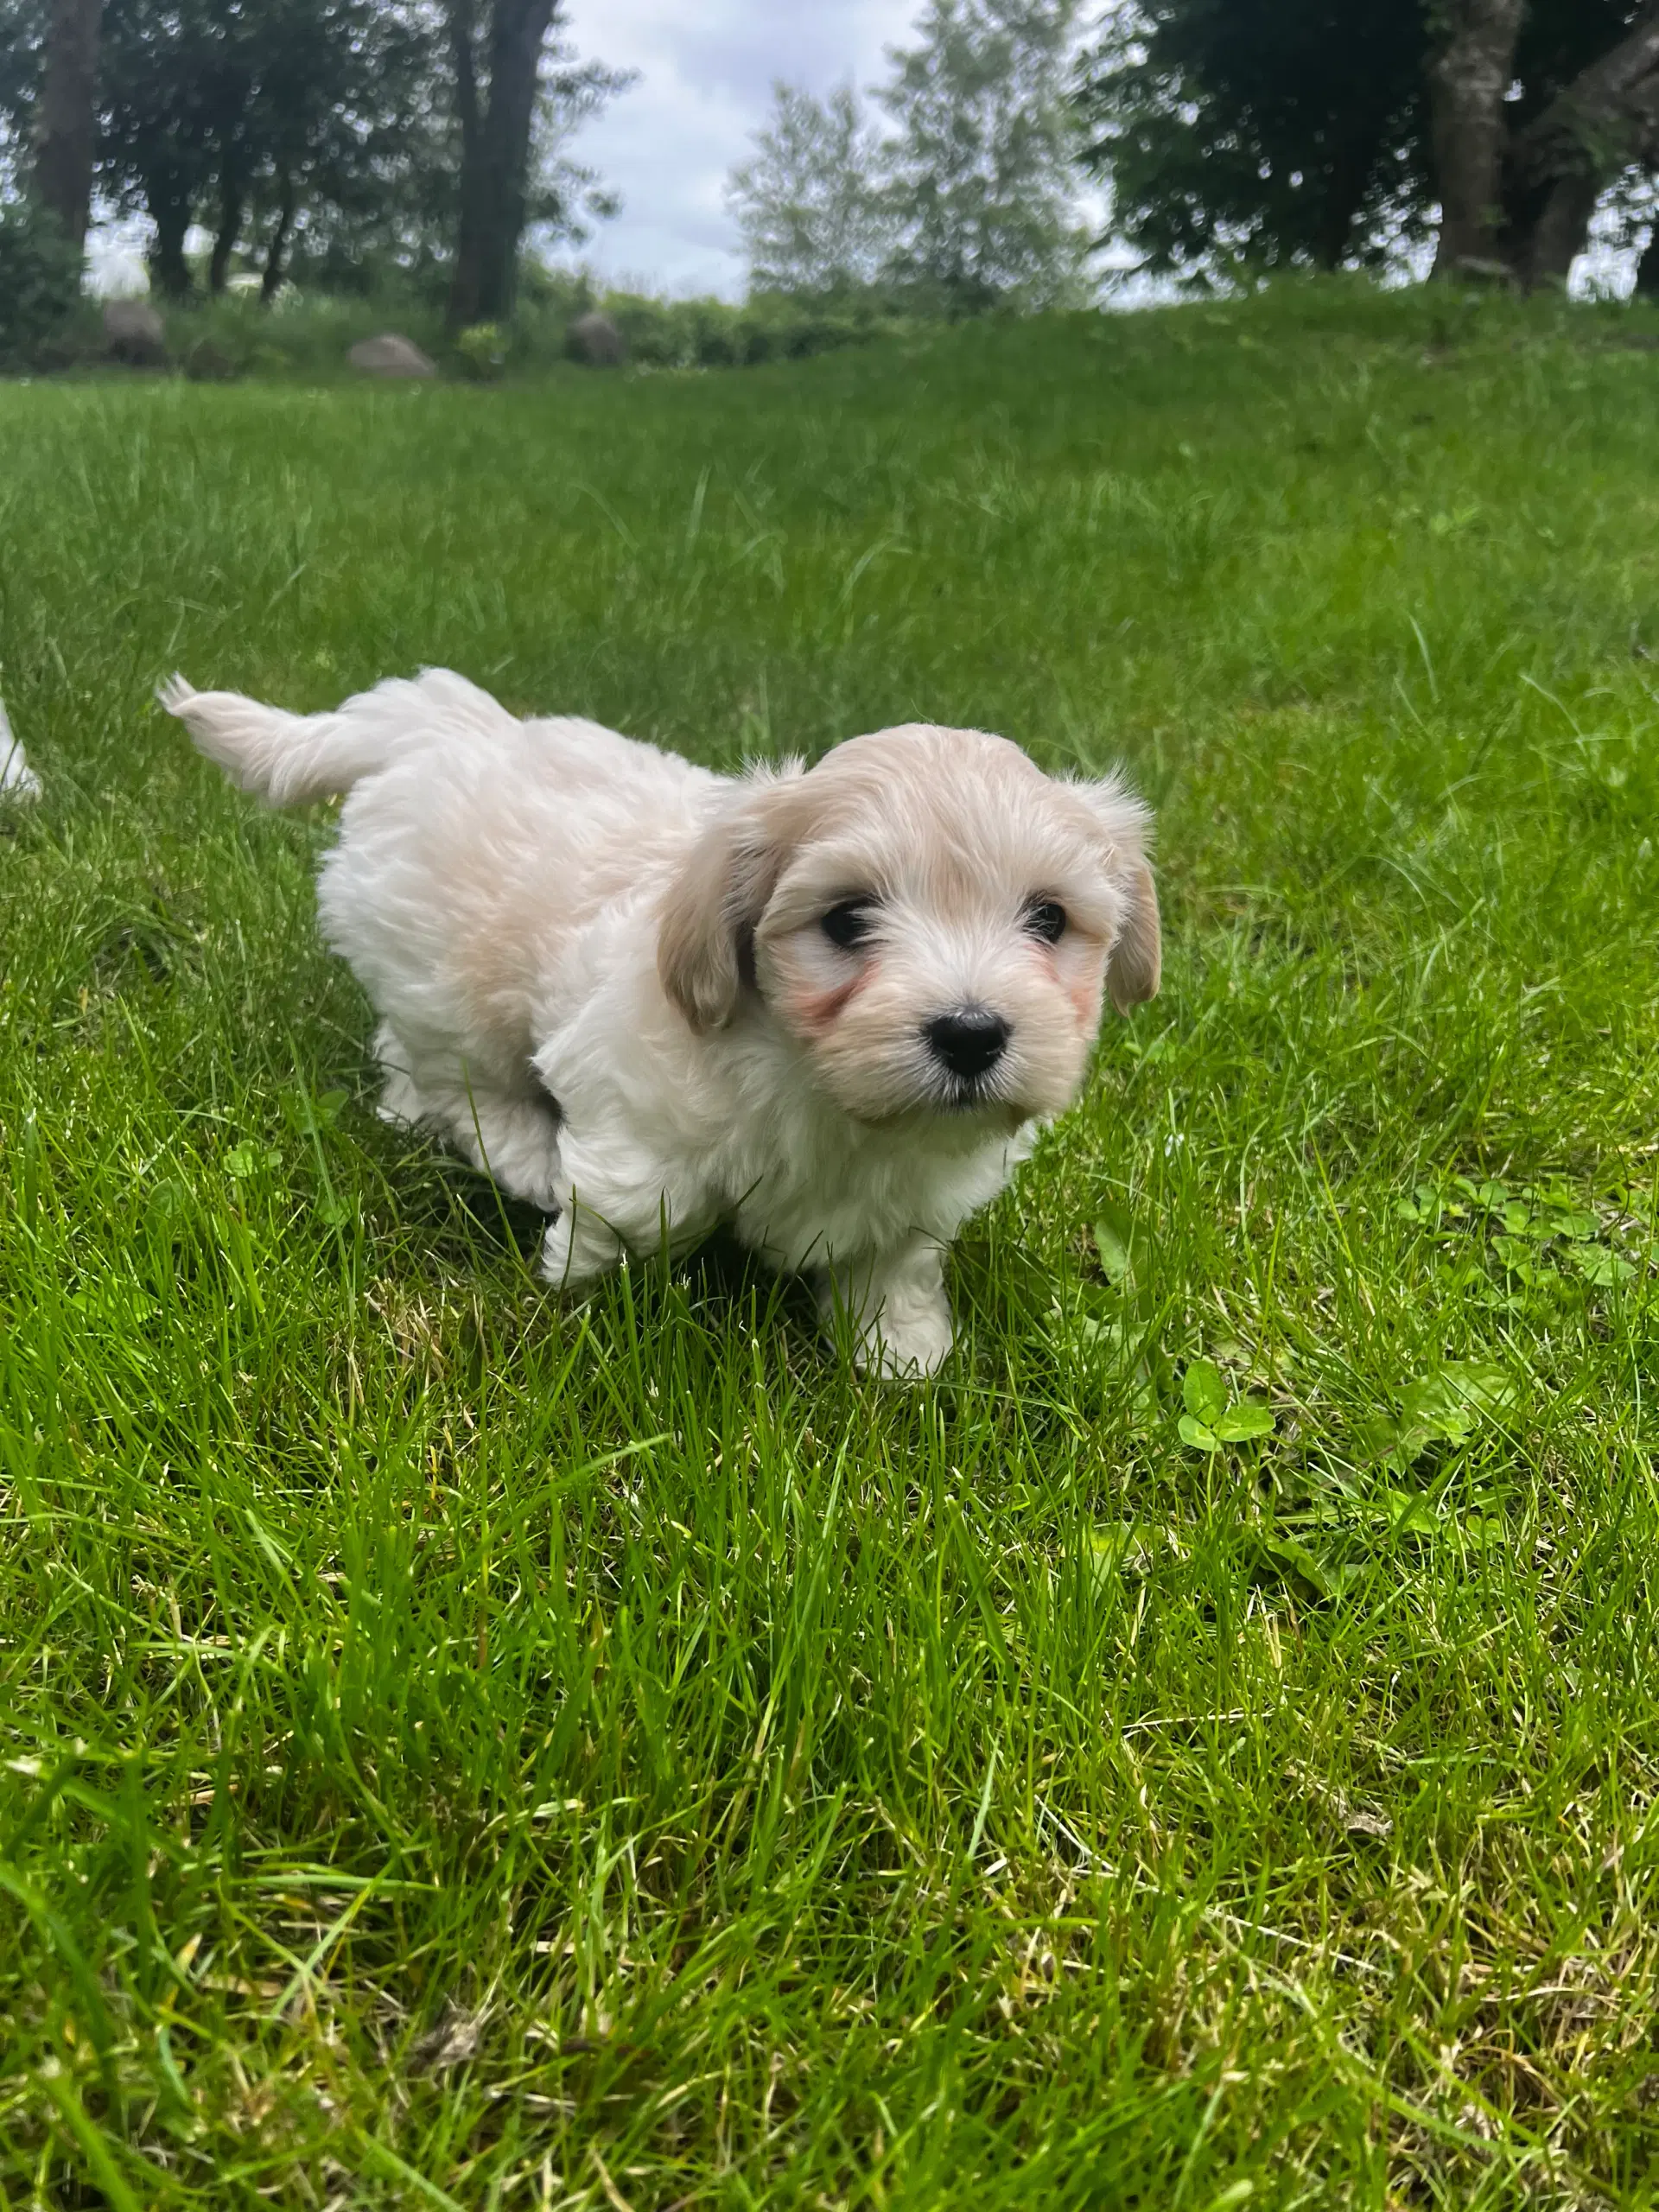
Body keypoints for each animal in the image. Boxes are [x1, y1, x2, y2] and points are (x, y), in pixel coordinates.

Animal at [166, 664, 1159, 1371]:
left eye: (1048, 920)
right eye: (845, 921)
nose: (971, 1032)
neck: (820, 1089)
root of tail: (437, 722)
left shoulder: (917, 1187)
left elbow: (896, 1255)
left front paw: (899, 1344)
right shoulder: (632, 1095)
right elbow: (647, 1206)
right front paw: (574, 1275)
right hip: (450, 985)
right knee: (450, 1078)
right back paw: (519, 1151)